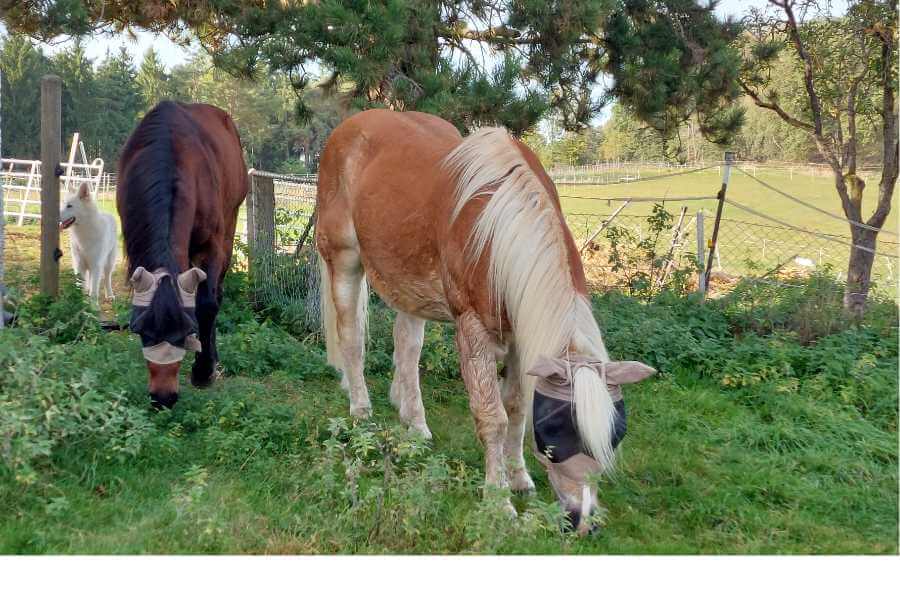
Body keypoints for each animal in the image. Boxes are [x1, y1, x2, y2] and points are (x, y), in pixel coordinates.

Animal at [118, 101, 250, 410]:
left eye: (185, 330)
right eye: (142, 331)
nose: (163, 398)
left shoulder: (210, 245)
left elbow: (208, 304)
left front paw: (203, 370)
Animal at [316, 110, 652, 532]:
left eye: (614, 436)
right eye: (554, 433)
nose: (583, 522)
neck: (495, 228)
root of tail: (347, 128)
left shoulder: (522, 340)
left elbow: (517, 409)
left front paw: (520, 478)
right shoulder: (473, 330)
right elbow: (492, 417)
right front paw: (498, 500)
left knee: (407, 347)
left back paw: (415, 423)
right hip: (344, 260)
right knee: (351, 339)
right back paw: (361, 410)